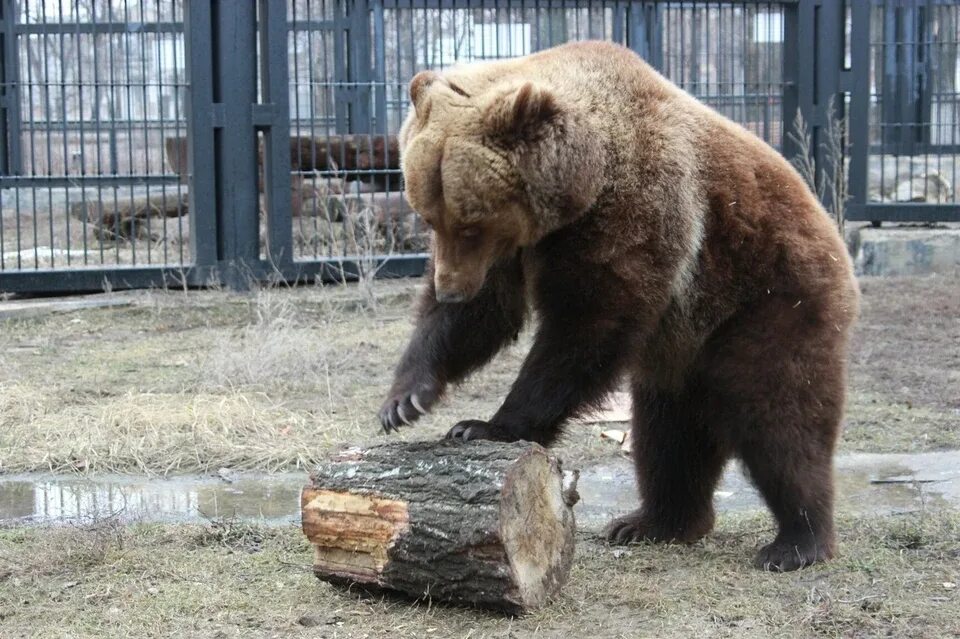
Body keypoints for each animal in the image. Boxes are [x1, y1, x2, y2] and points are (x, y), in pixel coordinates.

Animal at [378, 41, 860, 568]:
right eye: (429, 216)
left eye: (470, 223)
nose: (450, 288)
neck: (583, 184)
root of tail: (833, 234)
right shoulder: (517, 247)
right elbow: (484, 314)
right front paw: (405, 400)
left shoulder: (638, 211)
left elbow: (589, 327)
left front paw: (484, 426)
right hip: (682, 351)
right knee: (669, 436)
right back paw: (654, 522)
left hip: (769, 298)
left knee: (780, 418)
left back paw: (796, 540)